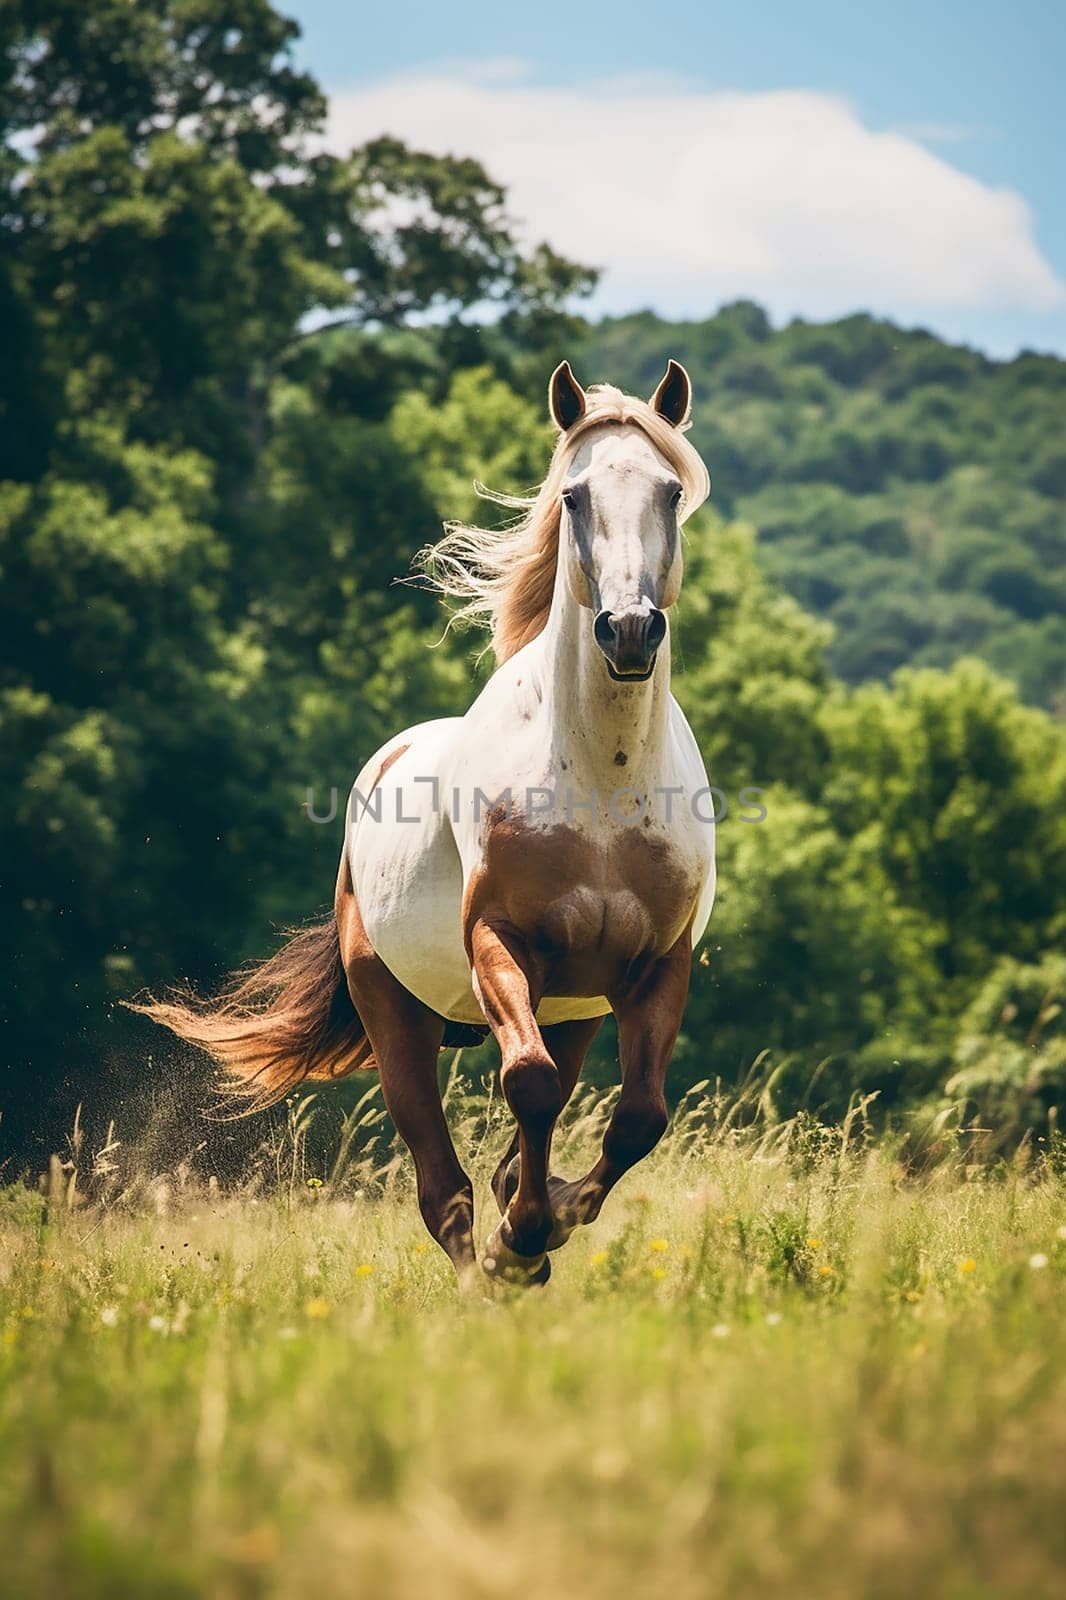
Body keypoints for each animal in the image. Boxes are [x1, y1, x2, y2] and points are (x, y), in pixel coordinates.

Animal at [135, 360, 713, 1286]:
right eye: (576, 495)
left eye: (670, 490)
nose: (629, 630)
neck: (601, 782)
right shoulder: (499, 942)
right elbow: (529, 1086)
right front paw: (524, 1239)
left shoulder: (657, 964)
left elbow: (637, 1118)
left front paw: (552, 1219)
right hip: (395, 1015)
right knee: (444, 1189)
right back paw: (494, 1264)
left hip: (577, 1008)